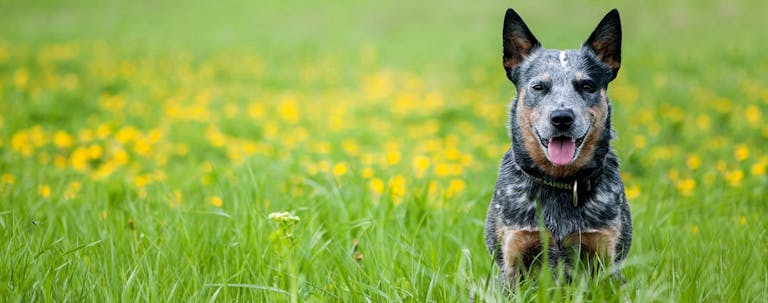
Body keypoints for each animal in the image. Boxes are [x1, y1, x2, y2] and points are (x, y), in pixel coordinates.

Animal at [484, 8, 632, 286]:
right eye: (539, 86)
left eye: (587, 85)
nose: (562, 117)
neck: (560, 182)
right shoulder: (512, 257)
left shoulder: (605, 258)